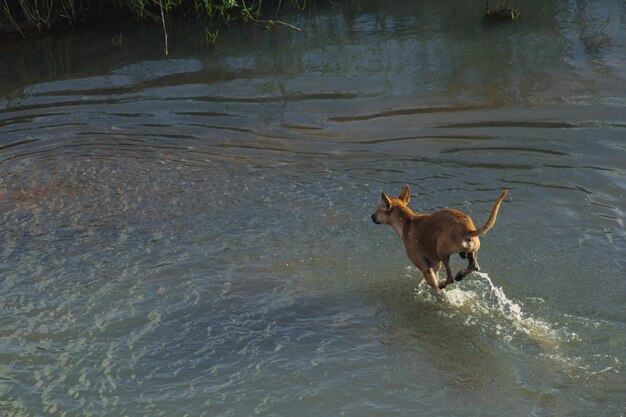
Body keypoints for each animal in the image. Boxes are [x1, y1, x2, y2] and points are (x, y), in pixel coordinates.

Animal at [370, 185, 508, 290]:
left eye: (377, 210)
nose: (371, 216)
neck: (408, 221)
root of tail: (468, 230)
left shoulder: (425, 267)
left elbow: (433, 283)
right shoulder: (435, 264)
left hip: (441, 250)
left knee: (450, 278)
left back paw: (445, 283)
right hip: (469, 252)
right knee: (473, 266)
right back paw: (461, 275)